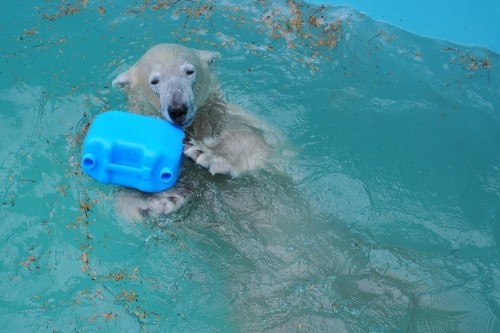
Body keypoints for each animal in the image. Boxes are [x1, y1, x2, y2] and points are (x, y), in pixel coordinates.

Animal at [112, 44, 272, 220]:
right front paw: (159, 200)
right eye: (154, 81)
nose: (177, 109)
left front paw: (202, 152)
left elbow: (253, 142)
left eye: (189, 71)